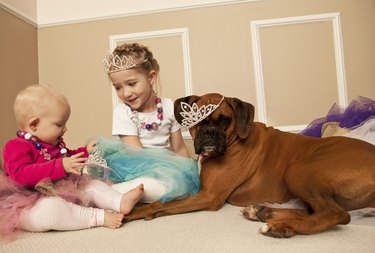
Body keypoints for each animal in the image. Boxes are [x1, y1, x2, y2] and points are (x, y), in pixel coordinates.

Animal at [124, 92, 375, 237]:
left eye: (224, 120)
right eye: (199, 122)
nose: (209, 133)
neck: (235, 139)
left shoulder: (208, 196)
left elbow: (160, 204)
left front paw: (134, 211)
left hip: (299, 171)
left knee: (336, 214)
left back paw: (280, 226)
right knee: (317, 211)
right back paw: (264, 212)